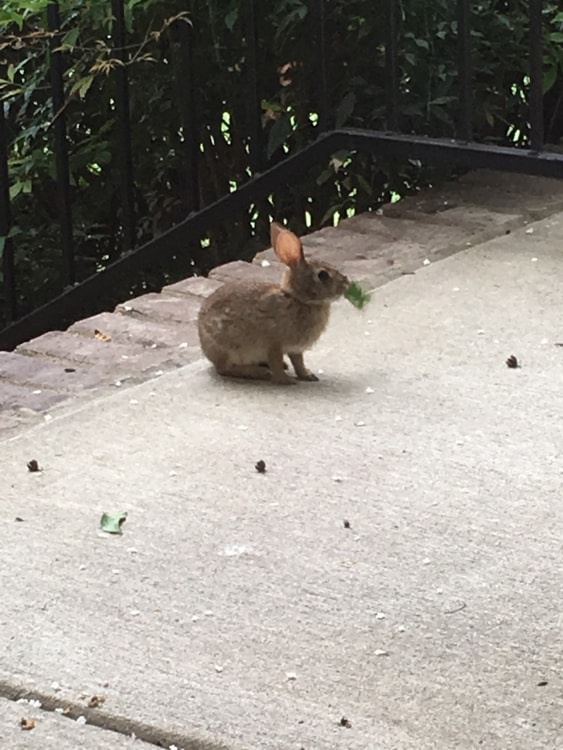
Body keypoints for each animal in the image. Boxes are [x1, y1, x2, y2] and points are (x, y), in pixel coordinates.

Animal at [197, 222, 348, 388]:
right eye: (323, 275)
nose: (346, 283)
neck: (298, 299)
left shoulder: (295, 349)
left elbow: (298, 362)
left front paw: (307, 375)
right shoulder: (274, 344)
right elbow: (276, 361)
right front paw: (286, 381)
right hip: (228, 348)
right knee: (225, 369)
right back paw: (259, 372)